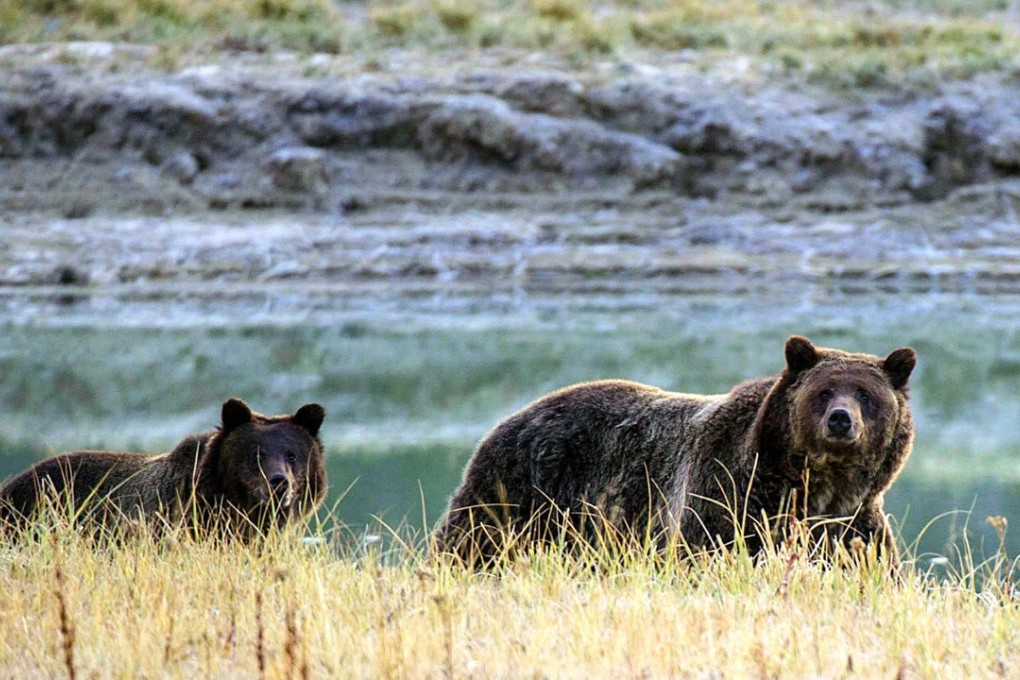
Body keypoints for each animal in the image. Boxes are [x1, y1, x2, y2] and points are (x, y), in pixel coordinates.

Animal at [433, 335, 916, 566]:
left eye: (866, 394)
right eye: (824, 391)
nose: (841, 419)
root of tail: (510, 417)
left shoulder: (852, 525)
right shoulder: (727, 498)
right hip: (520, 490)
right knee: (470, 542)